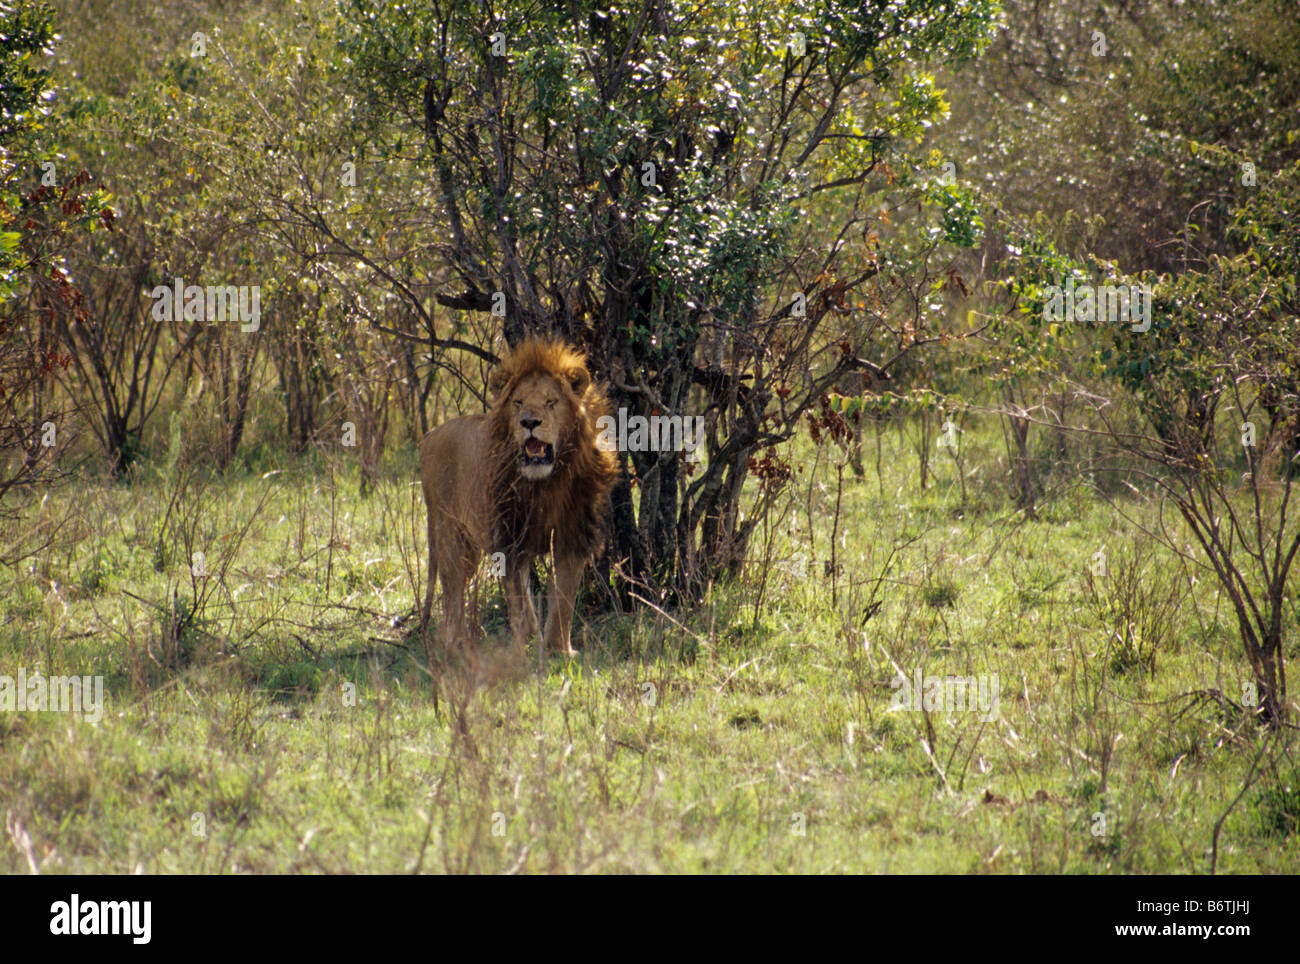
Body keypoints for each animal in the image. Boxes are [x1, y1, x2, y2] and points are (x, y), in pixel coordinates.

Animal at [419, 336, 619, 656]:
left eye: (551, 402)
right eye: (518, 403)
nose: (529, 422)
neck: (547, 483)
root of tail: (428, 437)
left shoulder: (571, 536)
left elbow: (563, 599)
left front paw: (559, 650)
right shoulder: (508, 539)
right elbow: (517, 604)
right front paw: (520, 652)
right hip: (451, 534)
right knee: (453, 593)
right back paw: (457, 644)